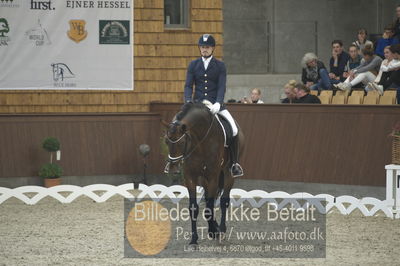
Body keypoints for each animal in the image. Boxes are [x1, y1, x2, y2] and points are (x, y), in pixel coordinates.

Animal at [163, 102, 244, 245]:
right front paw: (194, 240)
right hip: (204, 179)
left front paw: (213, 232)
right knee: (209, 199)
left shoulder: (212, 177)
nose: (172, 169)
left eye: (182, 142)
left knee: (223, 201)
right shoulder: (190, 177)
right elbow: (194, 208)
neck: (199, 139)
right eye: (166, 141)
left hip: (227, 173)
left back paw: (221, 230)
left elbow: (209, 208)